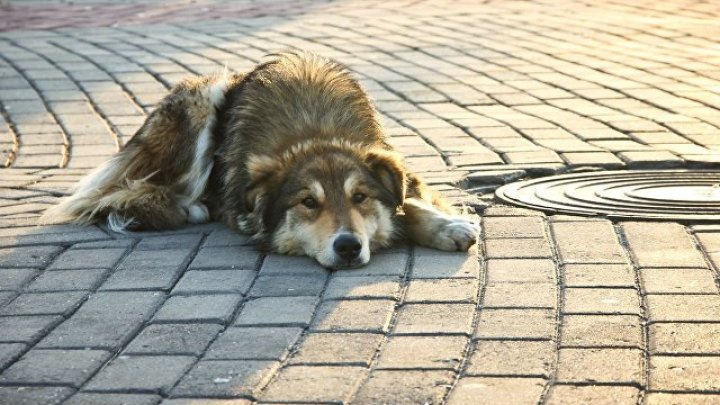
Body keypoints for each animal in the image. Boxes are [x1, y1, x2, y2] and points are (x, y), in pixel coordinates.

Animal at [47, 52, 480, 270]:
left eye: (360, 198)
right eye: (308, 203)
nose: (347, 247)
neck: (314, 133)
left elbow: (409, 201)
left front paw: (447, 226)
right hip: (204, 98)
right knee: (150, 188)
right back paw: (191, 207)